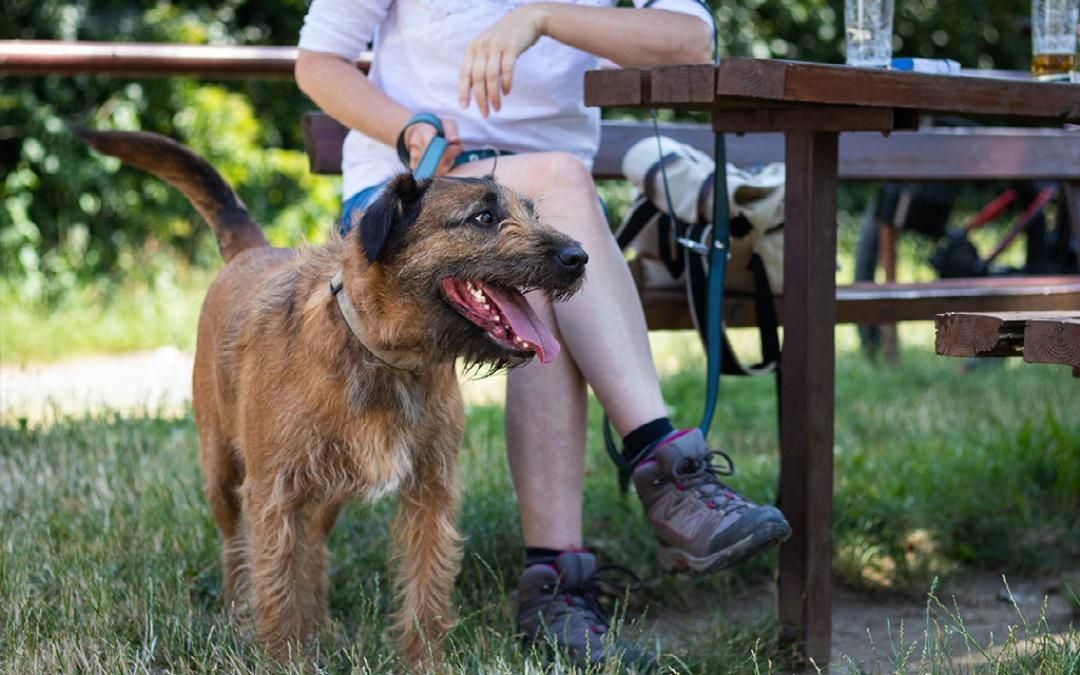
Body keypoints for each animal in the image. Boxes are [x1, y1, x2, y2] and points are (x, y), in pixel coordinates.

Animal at [77, 129, 587, 665]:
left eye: (529, 211)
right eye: (483, 217)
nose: (578, 257)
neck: (384, 356)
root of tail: (250, 252)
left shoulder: (430, 492)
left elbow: (425, 587)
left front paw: (423, 661)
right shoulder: (273, 493)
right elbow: (275, 584)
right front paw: (282, 659)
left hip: (325, 495)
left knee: (313, 552)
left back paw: (318, 624)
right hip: (222, 471)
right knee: (236, 549)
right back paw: (241, 613)